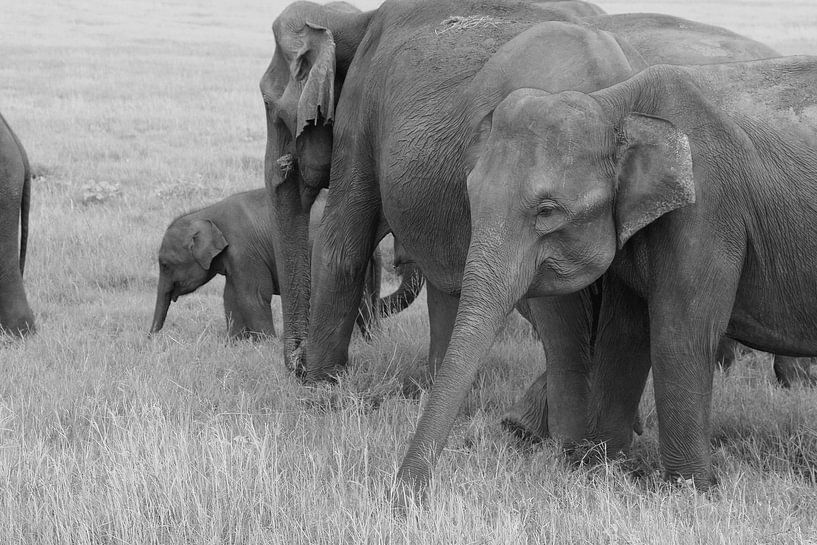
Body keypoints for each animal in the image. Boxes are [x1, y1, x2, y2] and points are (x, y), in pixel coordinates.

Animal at [149, 189, 424, 338]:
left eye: (165, 265)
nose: (151, 339)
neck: (205, 212)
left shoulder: (244, 250)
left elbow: (252, 296)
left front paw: (265, 343)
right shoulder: (235, 258)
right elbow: (231, 297)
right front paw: (235, 343)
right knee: (366, 303)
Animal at [446, 55, 817, 486]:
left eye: (547, 211)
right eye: (471, 195)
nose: (411, 483)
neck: (616, 105)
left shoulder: (706, 207)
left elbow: (679, 334)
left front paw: (689, 489)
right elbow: (623, 336)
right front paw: (603, 468)